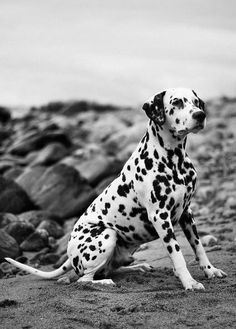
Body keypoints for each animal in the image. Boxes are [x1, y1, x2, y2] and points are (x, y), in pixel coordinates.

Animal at [5, 88, 227, 290]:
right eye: (177, 102)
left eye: (196, 102)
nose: (200, 115)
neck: (174, 160)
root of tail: (69, 255)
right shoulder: (160, 216)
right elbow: (178, 254)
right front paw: (189, 282)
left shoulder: (186, 213)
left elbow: (198, 247)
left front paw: (210, 270)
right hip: (106, 235)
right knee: (85, 279)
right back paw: (104, 282)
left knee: (109, 269)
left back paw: (137, 268)